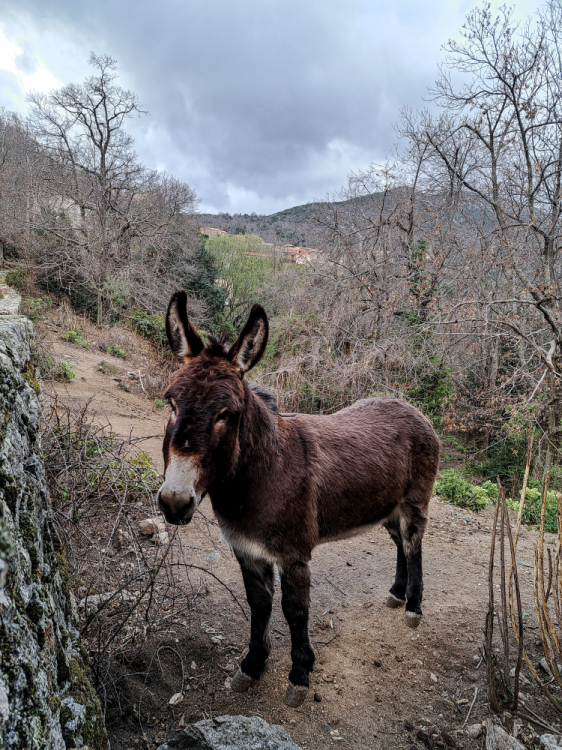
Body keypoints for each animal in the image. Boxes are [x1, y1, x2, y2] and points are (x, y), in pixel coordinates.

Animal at [157, 291, 440, 708]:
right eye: (171, 404)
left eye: (226, 414)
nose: (174, 503)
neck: (261, 474)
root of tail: (411, 408)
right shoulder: (247, 551)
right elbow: (259, 607)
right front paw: (251, 666)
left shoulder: (293, 556)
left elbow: (295, 613)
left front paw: (300, 674)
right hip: (386, 507)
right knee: (400, 543)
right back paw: (396, 593)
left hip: (415, 501)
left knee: (414, 542)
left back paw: (414, 606)